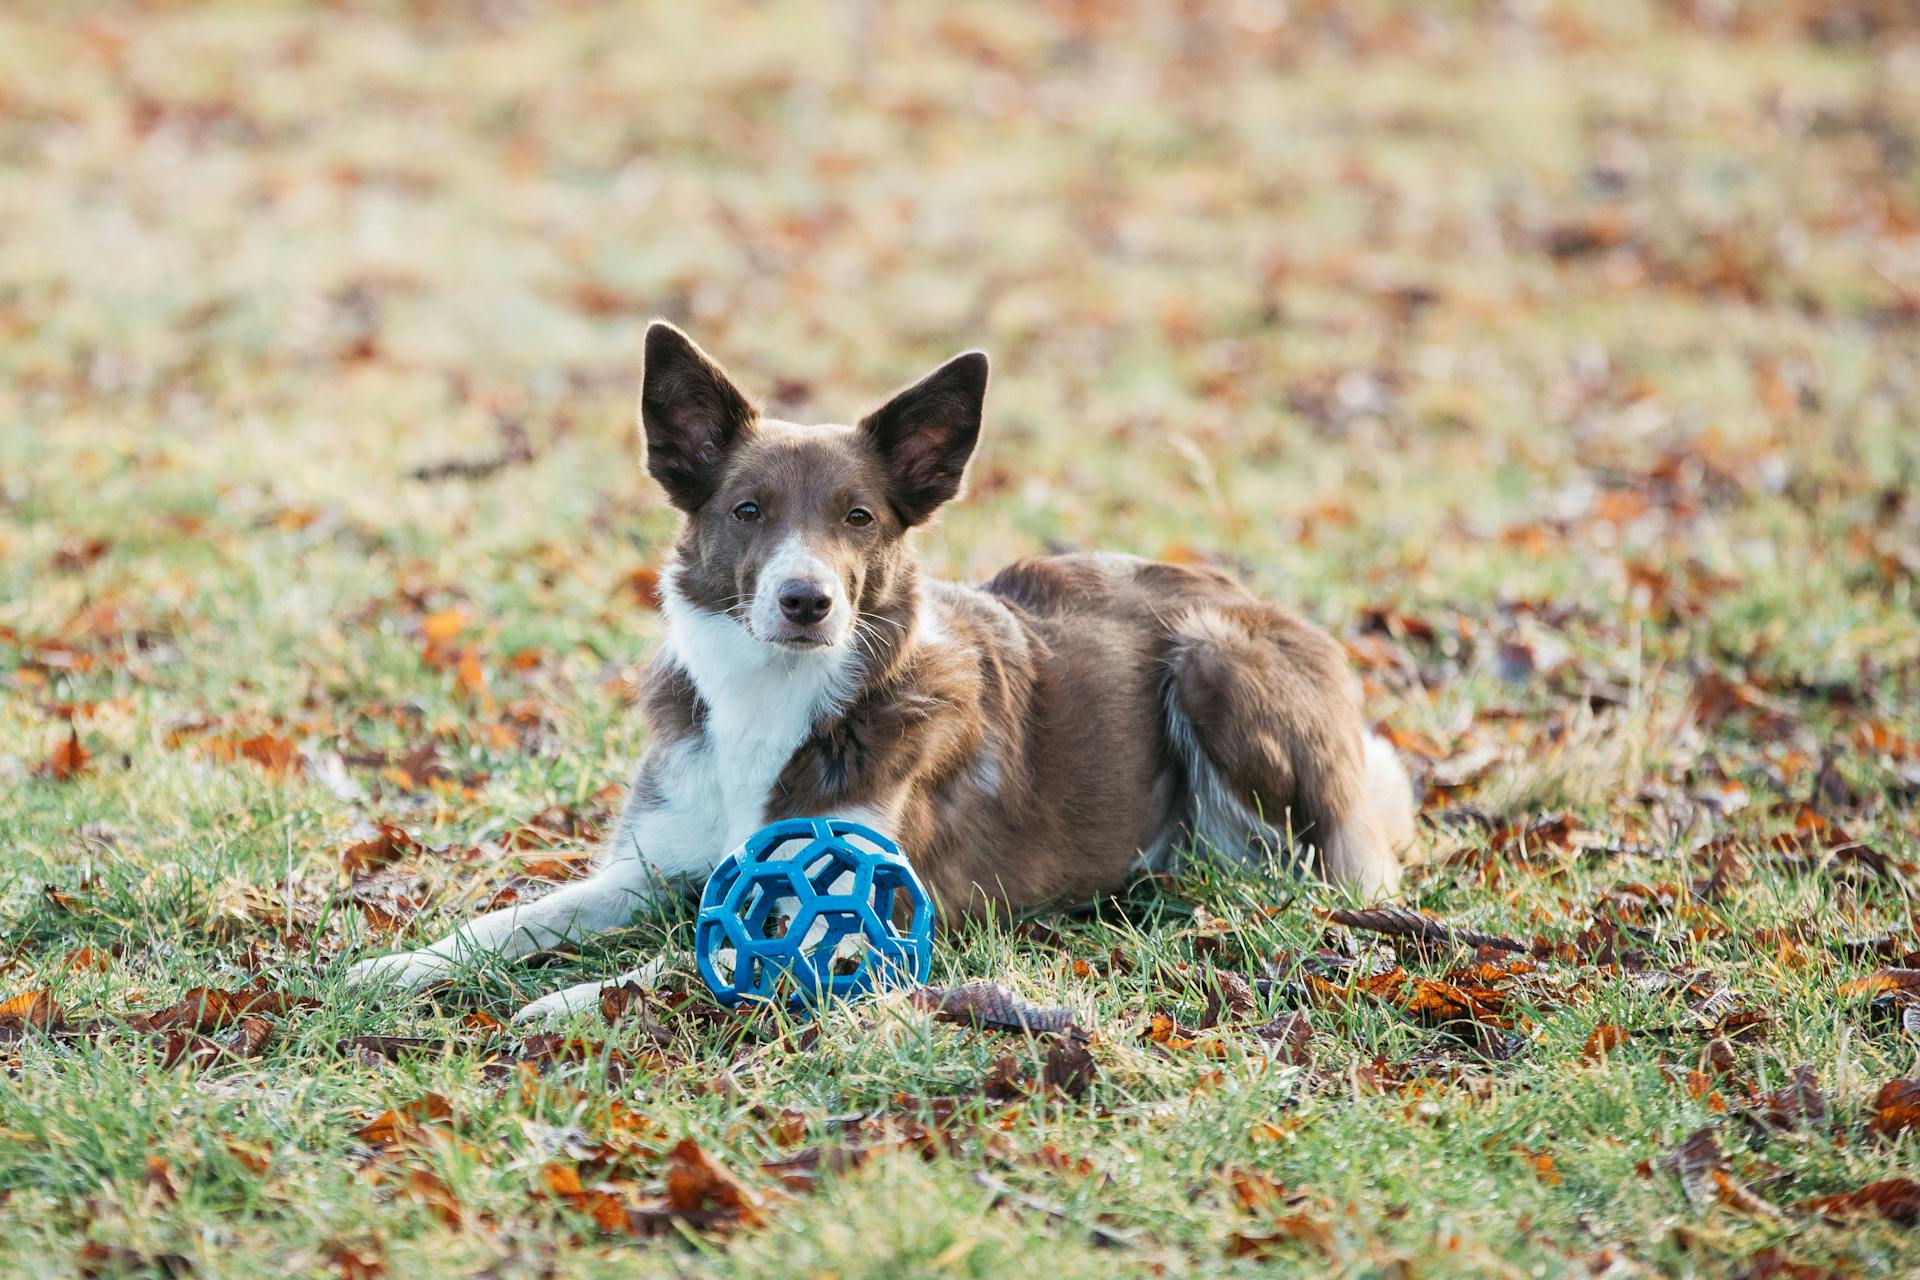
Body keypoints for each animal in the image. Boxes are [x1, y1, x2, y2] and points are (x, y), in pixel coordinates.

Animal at [353, 326, 1420, 1028]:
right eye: (748, 509)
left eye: (859, 517)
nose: (806, 601)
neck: (773, 697)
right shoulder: (652, 862)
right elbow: (528, 914)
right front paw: (406, 963)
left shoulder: (869, 915)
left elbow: (707, 958)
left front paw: (570, 999)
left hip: (1213, 660)